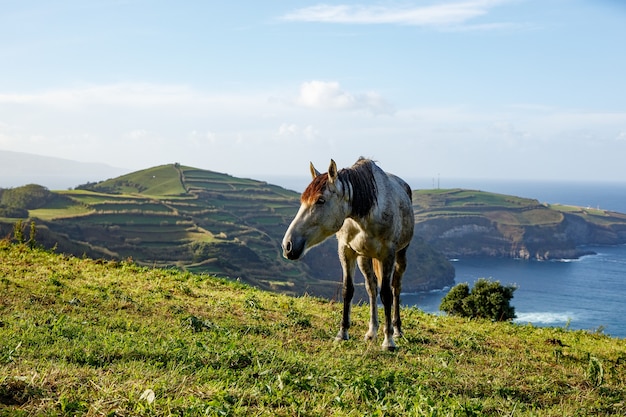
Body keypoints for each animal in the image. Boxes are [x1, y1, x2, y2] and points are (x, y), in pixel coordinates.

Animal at [280, 158, 412, 350]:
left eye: (320, 200)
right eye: (302, 199)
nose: (288, 245)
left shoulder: (388, 255)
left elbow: (386, 294)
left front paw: (388, 341)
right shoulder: (346, 250)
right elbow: (347, 290)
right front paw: (342, 333)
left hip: (401, 254)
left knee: (395, 287)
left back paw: (397, 330)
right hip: (364, 257)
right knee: (371, 288)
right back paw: (372, 331)